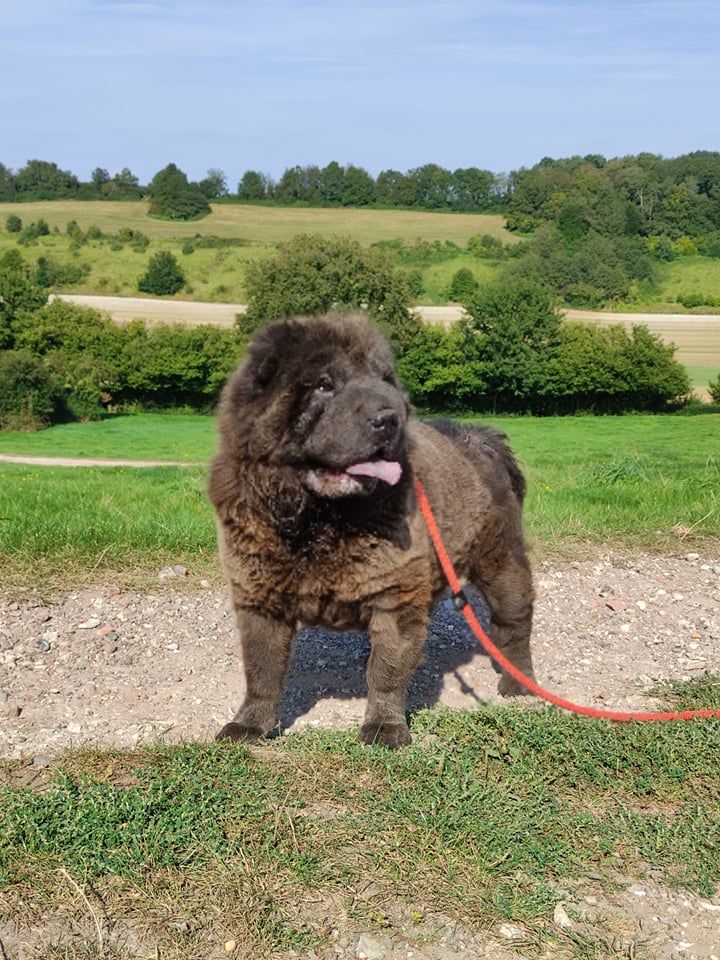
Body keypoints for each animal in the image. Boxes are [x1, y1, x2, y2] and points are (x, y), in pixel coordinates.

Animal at [208, 316, 536, 752]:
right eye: (324, 384)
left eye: (384, 381)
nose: (389, 418)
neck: (319, 519)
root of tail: (482, 439)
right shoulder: (260, 599)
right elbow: (262, 673)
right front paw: (249, 725)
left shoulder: (395, 597)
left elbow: (387, 670)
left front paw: (384, 726)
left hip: (501, 564)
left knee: (514, 624)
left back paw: (519, 684)